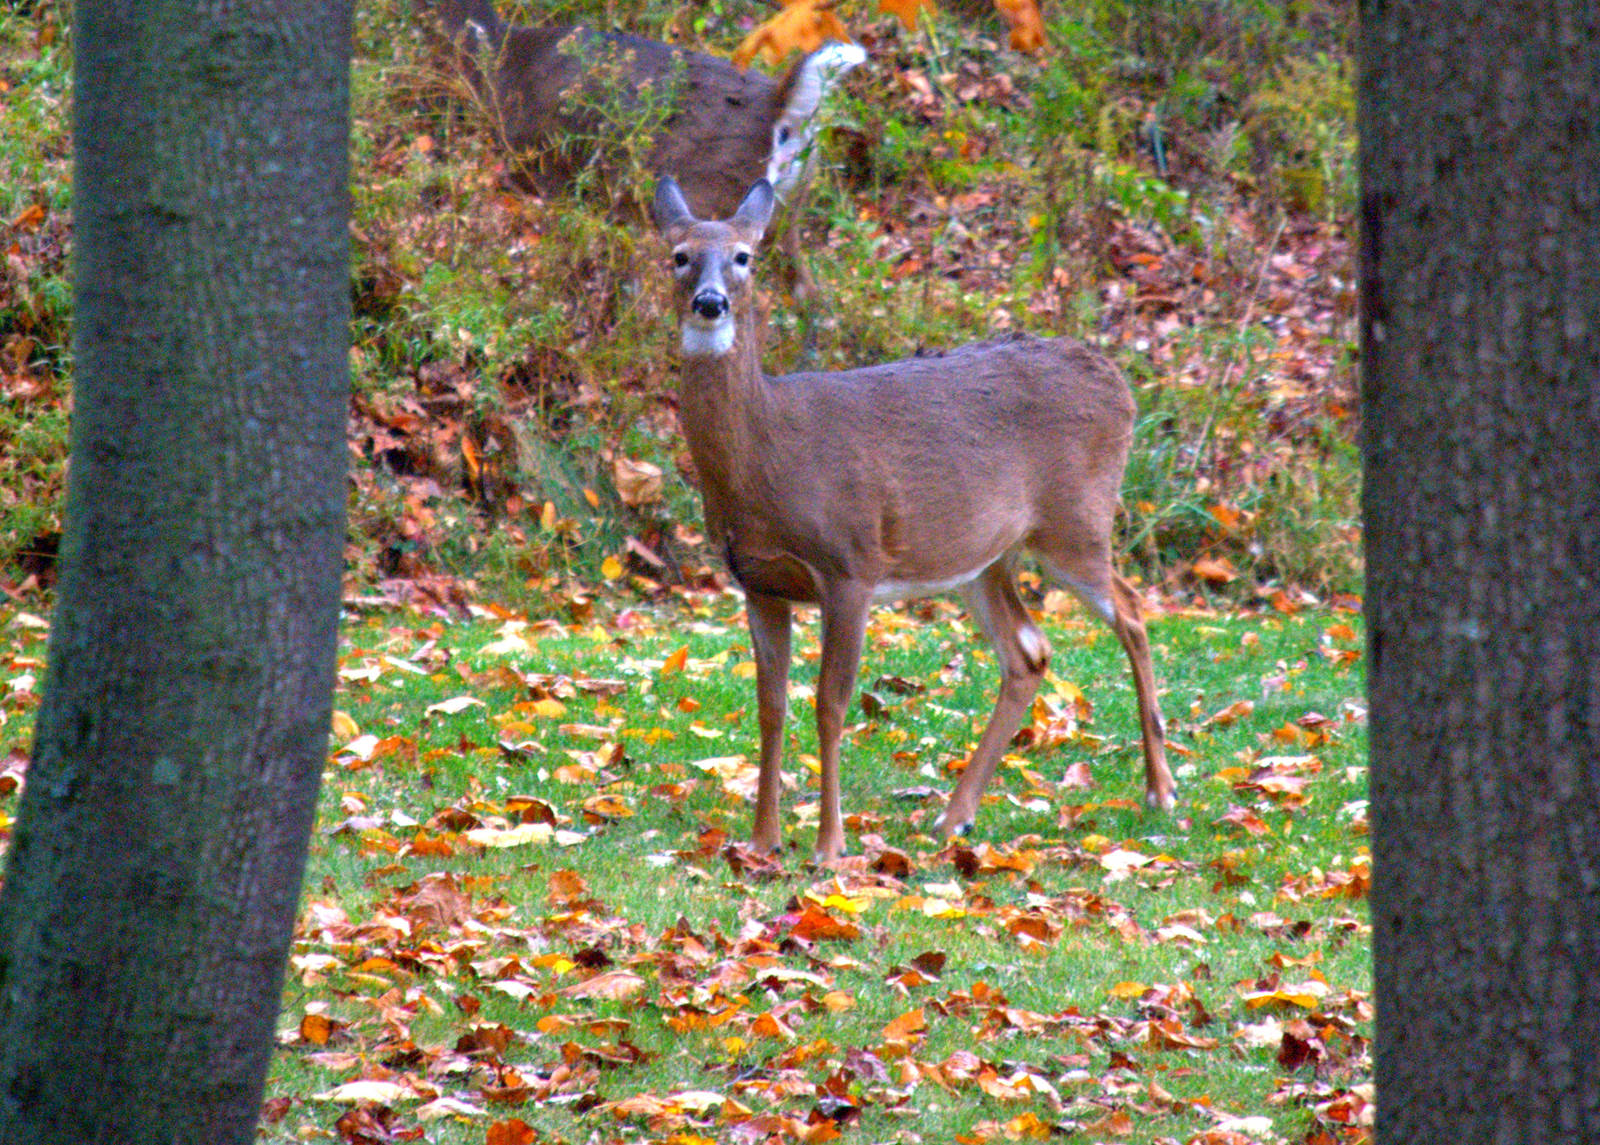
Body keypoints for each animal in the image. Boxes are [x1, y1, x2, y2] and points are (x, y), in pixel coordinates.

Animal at [422, 0, 864, 316]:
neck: (500, 57)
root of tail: (782, 111)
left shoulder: (536, 169)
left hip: (709, 201)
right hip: (788, 209)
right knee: (813, 299)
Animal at [650, 176, 1177, 862]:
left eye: (745, 257)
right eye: (680, 256)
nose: (710, 303)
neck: (767, 454)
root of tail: (1119, 383)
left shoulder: (851, 563)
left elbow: (830, 703)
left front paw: (829, 847)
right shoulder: (758, 581)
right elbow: (770, 706)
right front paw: (763, 842)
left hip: (1076, 522)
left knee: (1133, 611)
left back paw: (1160, 790)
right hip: (983, 560)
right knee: (1029, 651)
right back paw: (956, 817)